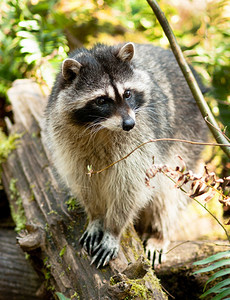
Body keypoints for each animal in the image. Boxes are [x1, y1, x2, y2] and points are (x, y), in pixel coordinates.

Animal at [43, 41, 207, 268]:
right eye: (101, 100)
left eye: (128, 93)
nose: (129, 124)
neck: (101, 128)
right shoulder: (67, 142)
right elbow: (84, 181)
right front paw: (96, 216)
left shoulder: (142, 138)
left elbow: (129, 187)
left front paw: (113, 230)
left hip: (188, 136)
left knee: (168, 194)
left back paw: (159, 233)